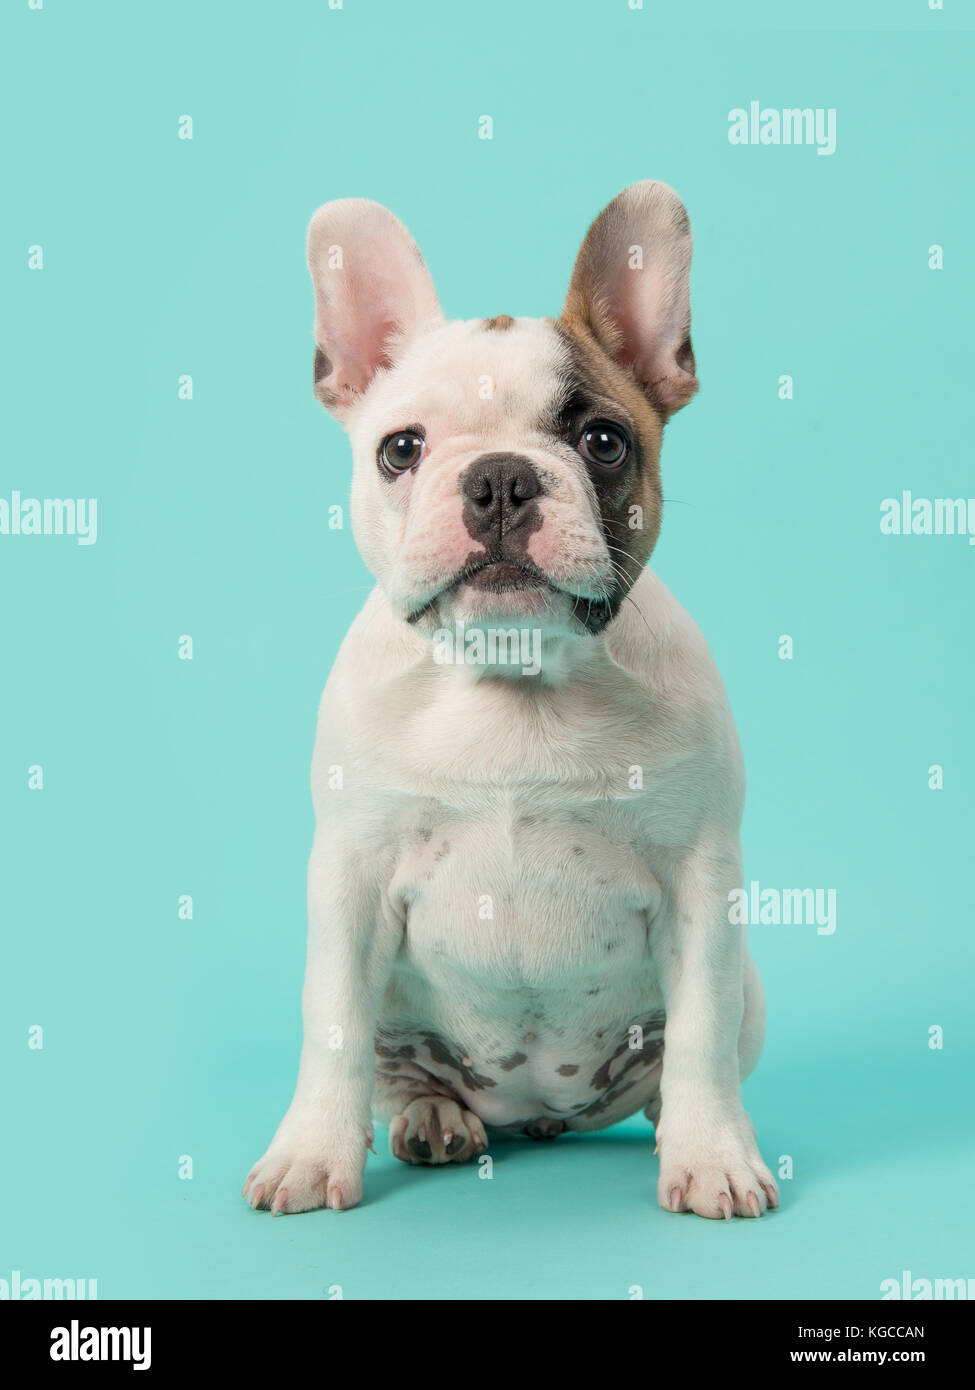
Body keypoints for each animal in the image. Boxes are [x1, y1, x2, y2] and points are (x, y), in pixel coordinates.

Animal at [242, 182, 773, 1217]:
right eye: (399, 450)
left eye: (602, 442)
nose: (497, 477)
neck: (514, 679)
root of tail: (537, 1115)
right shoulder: (351, 877)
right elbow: (331, 1025)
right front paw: (311, 1153)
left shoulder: (700, 879)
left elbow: (698, 1030)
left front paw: (712, 1157)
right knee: (398, 1072)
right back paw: (435, 1118)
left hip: (751, 994)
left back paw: (673, 1126)